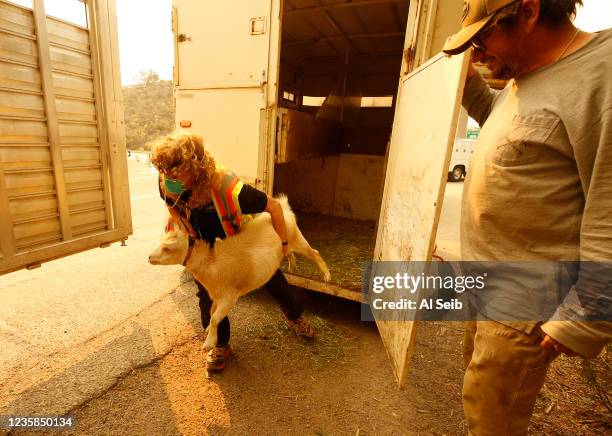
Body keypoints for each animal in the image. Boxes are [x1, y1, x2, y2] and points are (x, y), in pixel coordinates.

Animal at [148, 194, 330, 350]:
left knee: (315, 253)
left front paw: (209, 343)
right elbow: (211, 312)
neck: (211, 262)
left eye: (167, 249)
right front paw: (209, 332)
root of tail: (284, 208)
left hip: (298, 239)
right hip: (287, 243)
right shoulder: (217, 296)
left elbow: (215, 318)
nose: (149, 257)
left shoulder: (230, 297)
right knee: (290, 253)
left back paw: (327, 276)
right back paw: (292, 267)